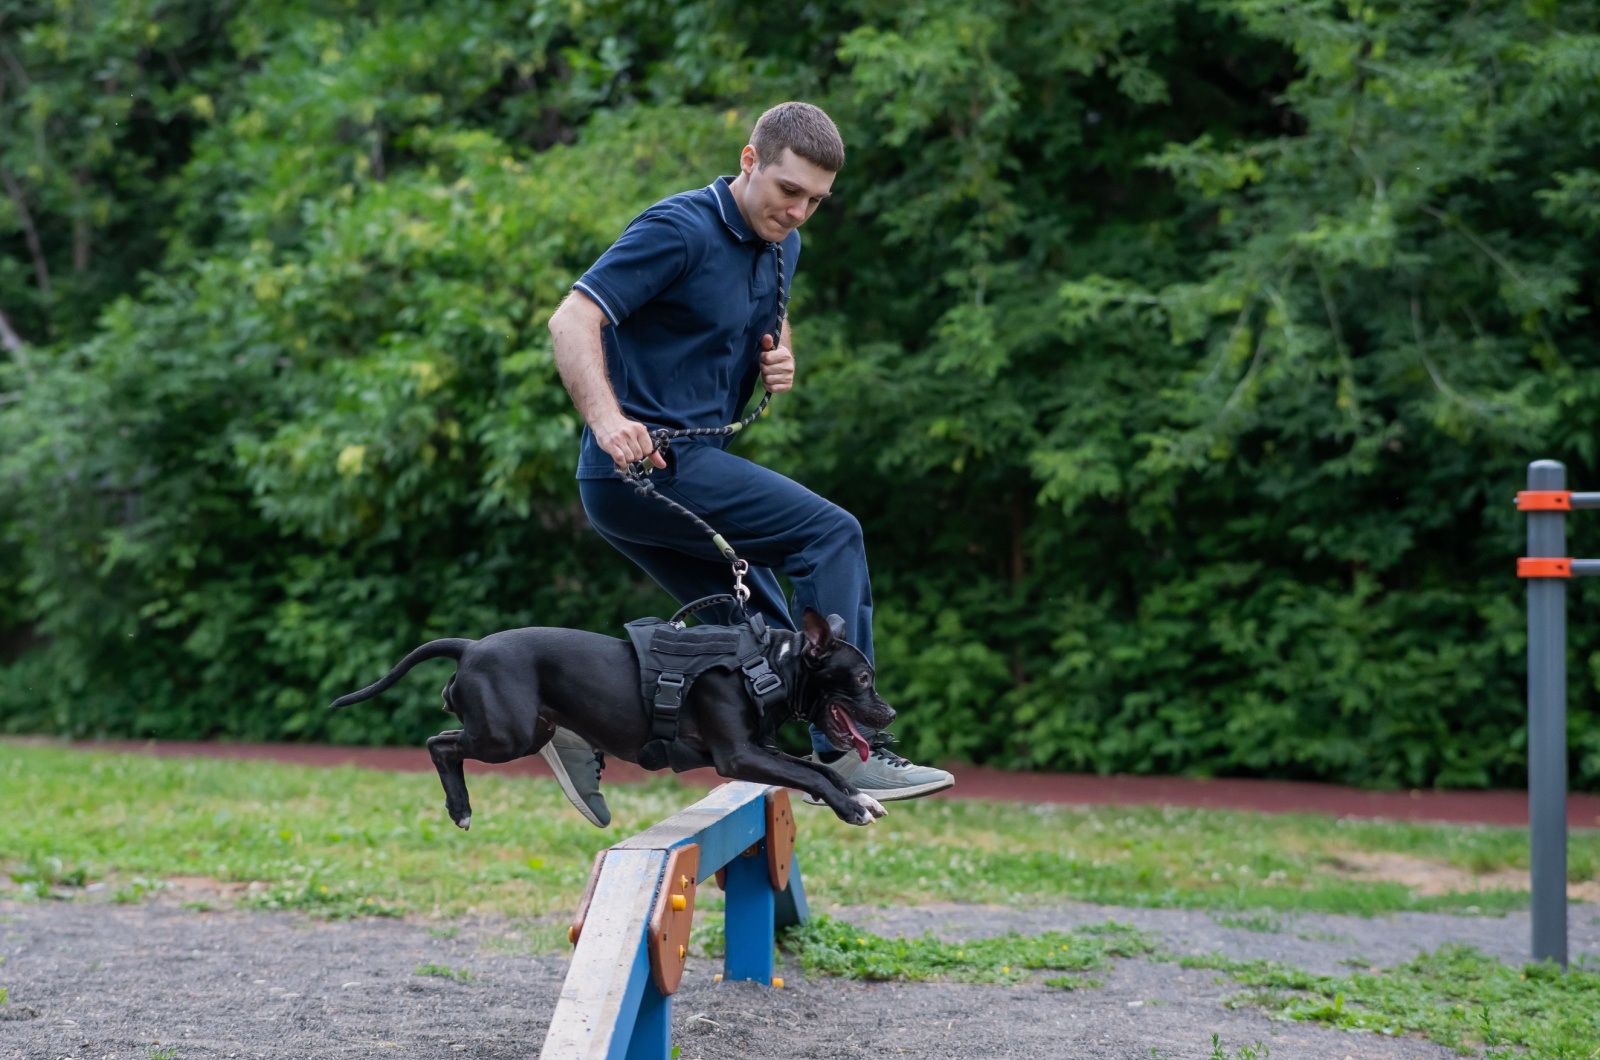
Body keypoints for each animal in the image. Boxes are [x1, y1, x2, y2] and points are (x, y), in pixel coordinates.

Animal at [326, 611, 902, 832]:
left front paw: (860, 797)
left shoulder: (762, 749)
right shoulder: (739, 756)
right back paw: (460, 808)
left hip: (526, 730)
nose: (891, 713)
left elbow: (819, 770)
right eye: (864, 678)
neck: (769, 664)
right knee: (438, 743)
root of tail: (470, 646)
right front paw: (851, 808)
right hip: (504, 735)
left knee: (447, 741)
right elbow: (810, 773)